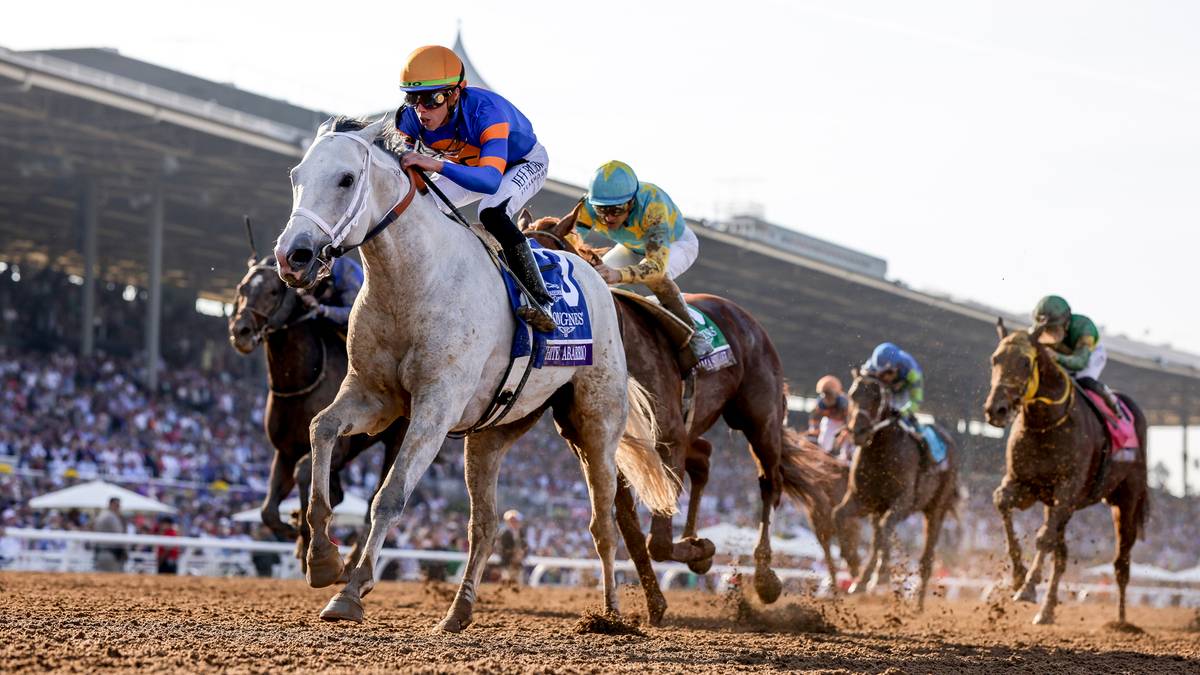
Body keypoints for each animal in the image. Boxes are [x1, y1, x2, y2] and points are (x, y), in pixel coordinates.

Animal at [225, 257, 408, 571]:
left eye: (273, 291)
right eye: (242, 288)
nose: (242, 332)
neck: (302, 379)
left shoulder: (337, 445)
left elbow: (304, 474)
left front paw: (306, 536)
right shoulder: (284, 450)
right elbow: (267, 510)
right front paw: (292, 531)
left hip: (397, 438)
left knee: (373, 496)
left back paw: (353, 558)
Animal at [274, 117, 681, 629]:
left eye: (346, 179)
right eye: (295, 175)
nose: (293, 256)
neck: (415, 281)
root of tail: (597, 281)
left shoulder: (435, 406)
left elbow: (389, 495)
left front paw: (350, 591)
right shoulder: (372, 394)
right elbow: (320, 429)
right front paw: (322, 559)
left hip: (594, 425)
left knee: (603, 521)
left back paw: (609, 613)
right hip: (492, 432)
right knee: (484, 524)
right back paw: (459, 608)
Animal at [523, 210, 844, 605]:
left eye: (545, 262)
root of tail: (747, 319)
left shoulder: (667, 437)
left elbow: (657, 540)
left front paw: (700, 551)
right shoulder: (604, 447)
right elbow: (631, 529)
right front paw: (663, 594)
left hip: (760, 420)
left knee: (770, 482)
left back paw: (765, 576)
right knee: (704, 458)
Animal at [835, 367, 955, 610]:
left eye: (876, 397)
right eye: (852, 395)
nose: (858, 431)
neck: (881, 448)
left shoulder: (903, 503)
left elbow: (885, 528)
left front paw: (881, 574)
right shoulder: (862, 500)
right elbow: (839, 515)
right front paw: (853, 563)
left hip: (936, 510)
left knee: (925, 557)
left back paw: (918, 604)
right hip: (879, 508)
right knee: (877, 536)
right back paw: (863, 580)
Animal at [984, 319, 1152, 624]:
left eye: (1025, 362)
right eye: (995, 359)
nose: (996, 410)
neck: (1046, 424)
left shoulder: (1067, 490)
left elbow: (1043, 538)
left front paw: (1027, 587)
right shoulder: (1024, 485)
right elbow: (1002, 503)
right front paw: (1018, 576)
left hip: (1126, 501)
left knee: (1121, 561)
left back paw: (1121, 621)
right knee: (1061, 556)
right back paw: (1047, 611)